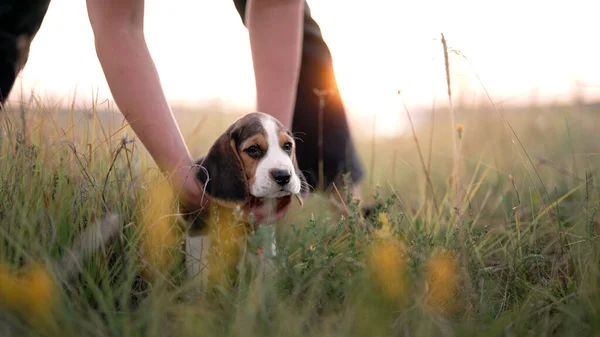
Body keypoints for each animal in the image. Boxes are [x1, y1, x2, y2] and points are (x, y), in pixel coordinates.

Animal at [180, 111, 308, 288]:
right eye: (253, 149)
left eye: (287, 146)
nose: (283, 176)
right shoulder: (198, 231)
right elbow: (198, 272)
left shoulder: (263, 233)